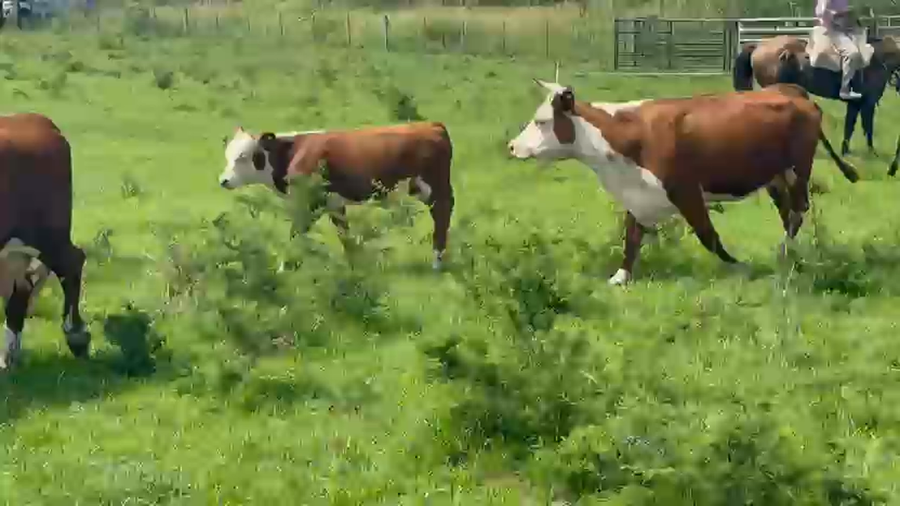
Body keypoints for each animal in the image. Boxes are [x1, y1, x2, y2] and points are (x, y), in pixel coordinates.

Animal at [218, 122, 454, 269]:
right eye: (228, 155)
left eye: (243, 156)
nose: (223, 180)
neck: (294, 153)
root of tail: (432, 125)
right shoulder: (334, 203)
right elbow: (345, 235)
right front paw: (353, 266)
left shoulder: (309, 202)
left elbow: (295, 234)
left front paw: (285, 266)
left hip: (436, 189)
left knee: (442, 216)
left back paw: (437, 262)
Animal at [507, 80, 859, 286]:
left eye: (542, 122)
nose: (511, 146)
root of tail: (791, 90)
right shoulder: (639, 196)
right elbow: (631, 238)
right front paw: (620, 277)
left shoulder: (686, 191)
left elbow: (708, 236)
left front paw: (740, 266)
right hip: (775, 177)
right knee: (789, 213)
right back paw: (786, 252)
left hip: (798, 170)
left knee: (798, 211)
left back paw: (786, 252)